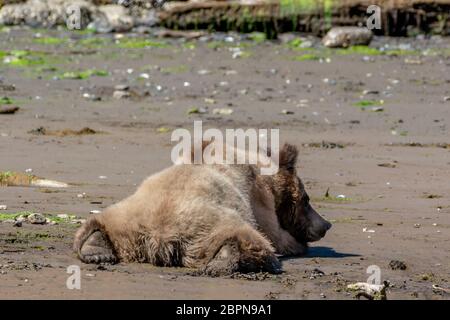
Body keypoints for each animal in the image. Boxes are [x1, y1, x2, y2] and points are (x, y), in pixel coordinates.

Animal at [74, 142, 330, 276]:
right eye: (306, 199)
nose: (325, 225)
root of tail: (159, 238)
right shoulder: (258, 199)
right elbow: (276, 235)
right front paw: (298, 244)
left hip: (128, 217)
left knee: (98, 223)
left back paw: (95, 248)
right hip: (209, 223)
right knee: (248, 237)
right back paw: (226, 260)